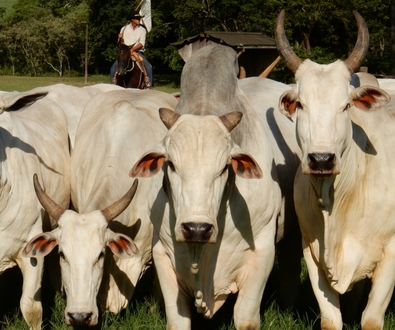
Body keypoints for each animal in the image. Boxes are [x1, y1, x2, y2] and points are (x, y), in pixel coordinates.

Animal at [130, 44, 300, 330]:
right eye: (171, 165)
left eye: (224, 168)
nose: (197, 229)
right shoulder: (163, 255)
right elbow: (177, 320)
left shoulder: (262, 253)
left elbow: (245, 317)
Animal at [276, 10, 395, 330]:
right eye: (300, 104)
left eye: (346, 106)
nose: (321, 160)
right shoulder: (311, 252)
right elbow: (332, 320)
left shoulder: (391, 253)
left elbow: (371, 319)